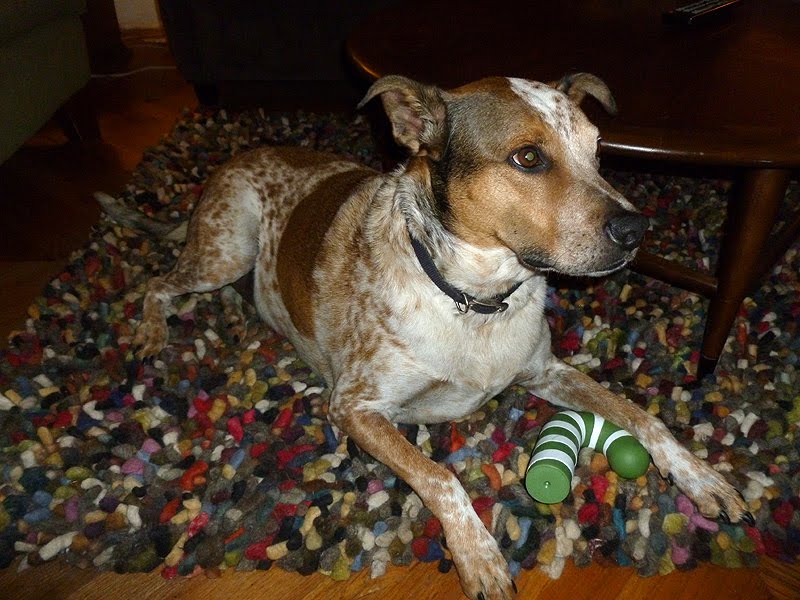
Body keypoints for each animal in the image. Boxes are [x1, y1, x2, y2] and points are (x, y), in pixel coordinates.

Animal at [100, 73, 753, 600]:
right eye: (528, 158)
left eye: (597, 152)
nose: (637, 228)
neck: (476, 300)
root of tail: (234, 161)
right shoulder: (354, 406)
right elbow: (441, 477)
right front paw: (480, 555)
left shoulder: (545, 371)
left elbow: (643, 417)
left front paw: (703, 478)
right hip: (225, 247)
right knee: (158, 284)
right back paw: (152, 332)